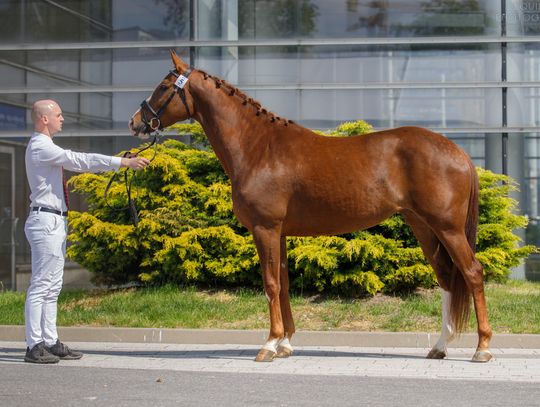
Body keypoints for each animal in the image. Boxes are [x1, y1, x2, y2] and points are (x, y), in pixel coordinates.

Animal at [129, 50, 492, 364]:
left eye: (163, 87)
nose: (136, 122)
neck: (258, 148)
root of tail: (458, 152)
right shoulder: (280, 233)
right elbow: (284, 284)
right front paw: (285, 343)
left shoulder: (265, 229)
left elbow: (270, 284)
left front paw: (268, 345)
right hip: (423, 226)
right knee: (446, 278)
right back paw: (439, 347)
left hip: (447, 228)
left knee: (472, 273)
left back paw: (482, 348)